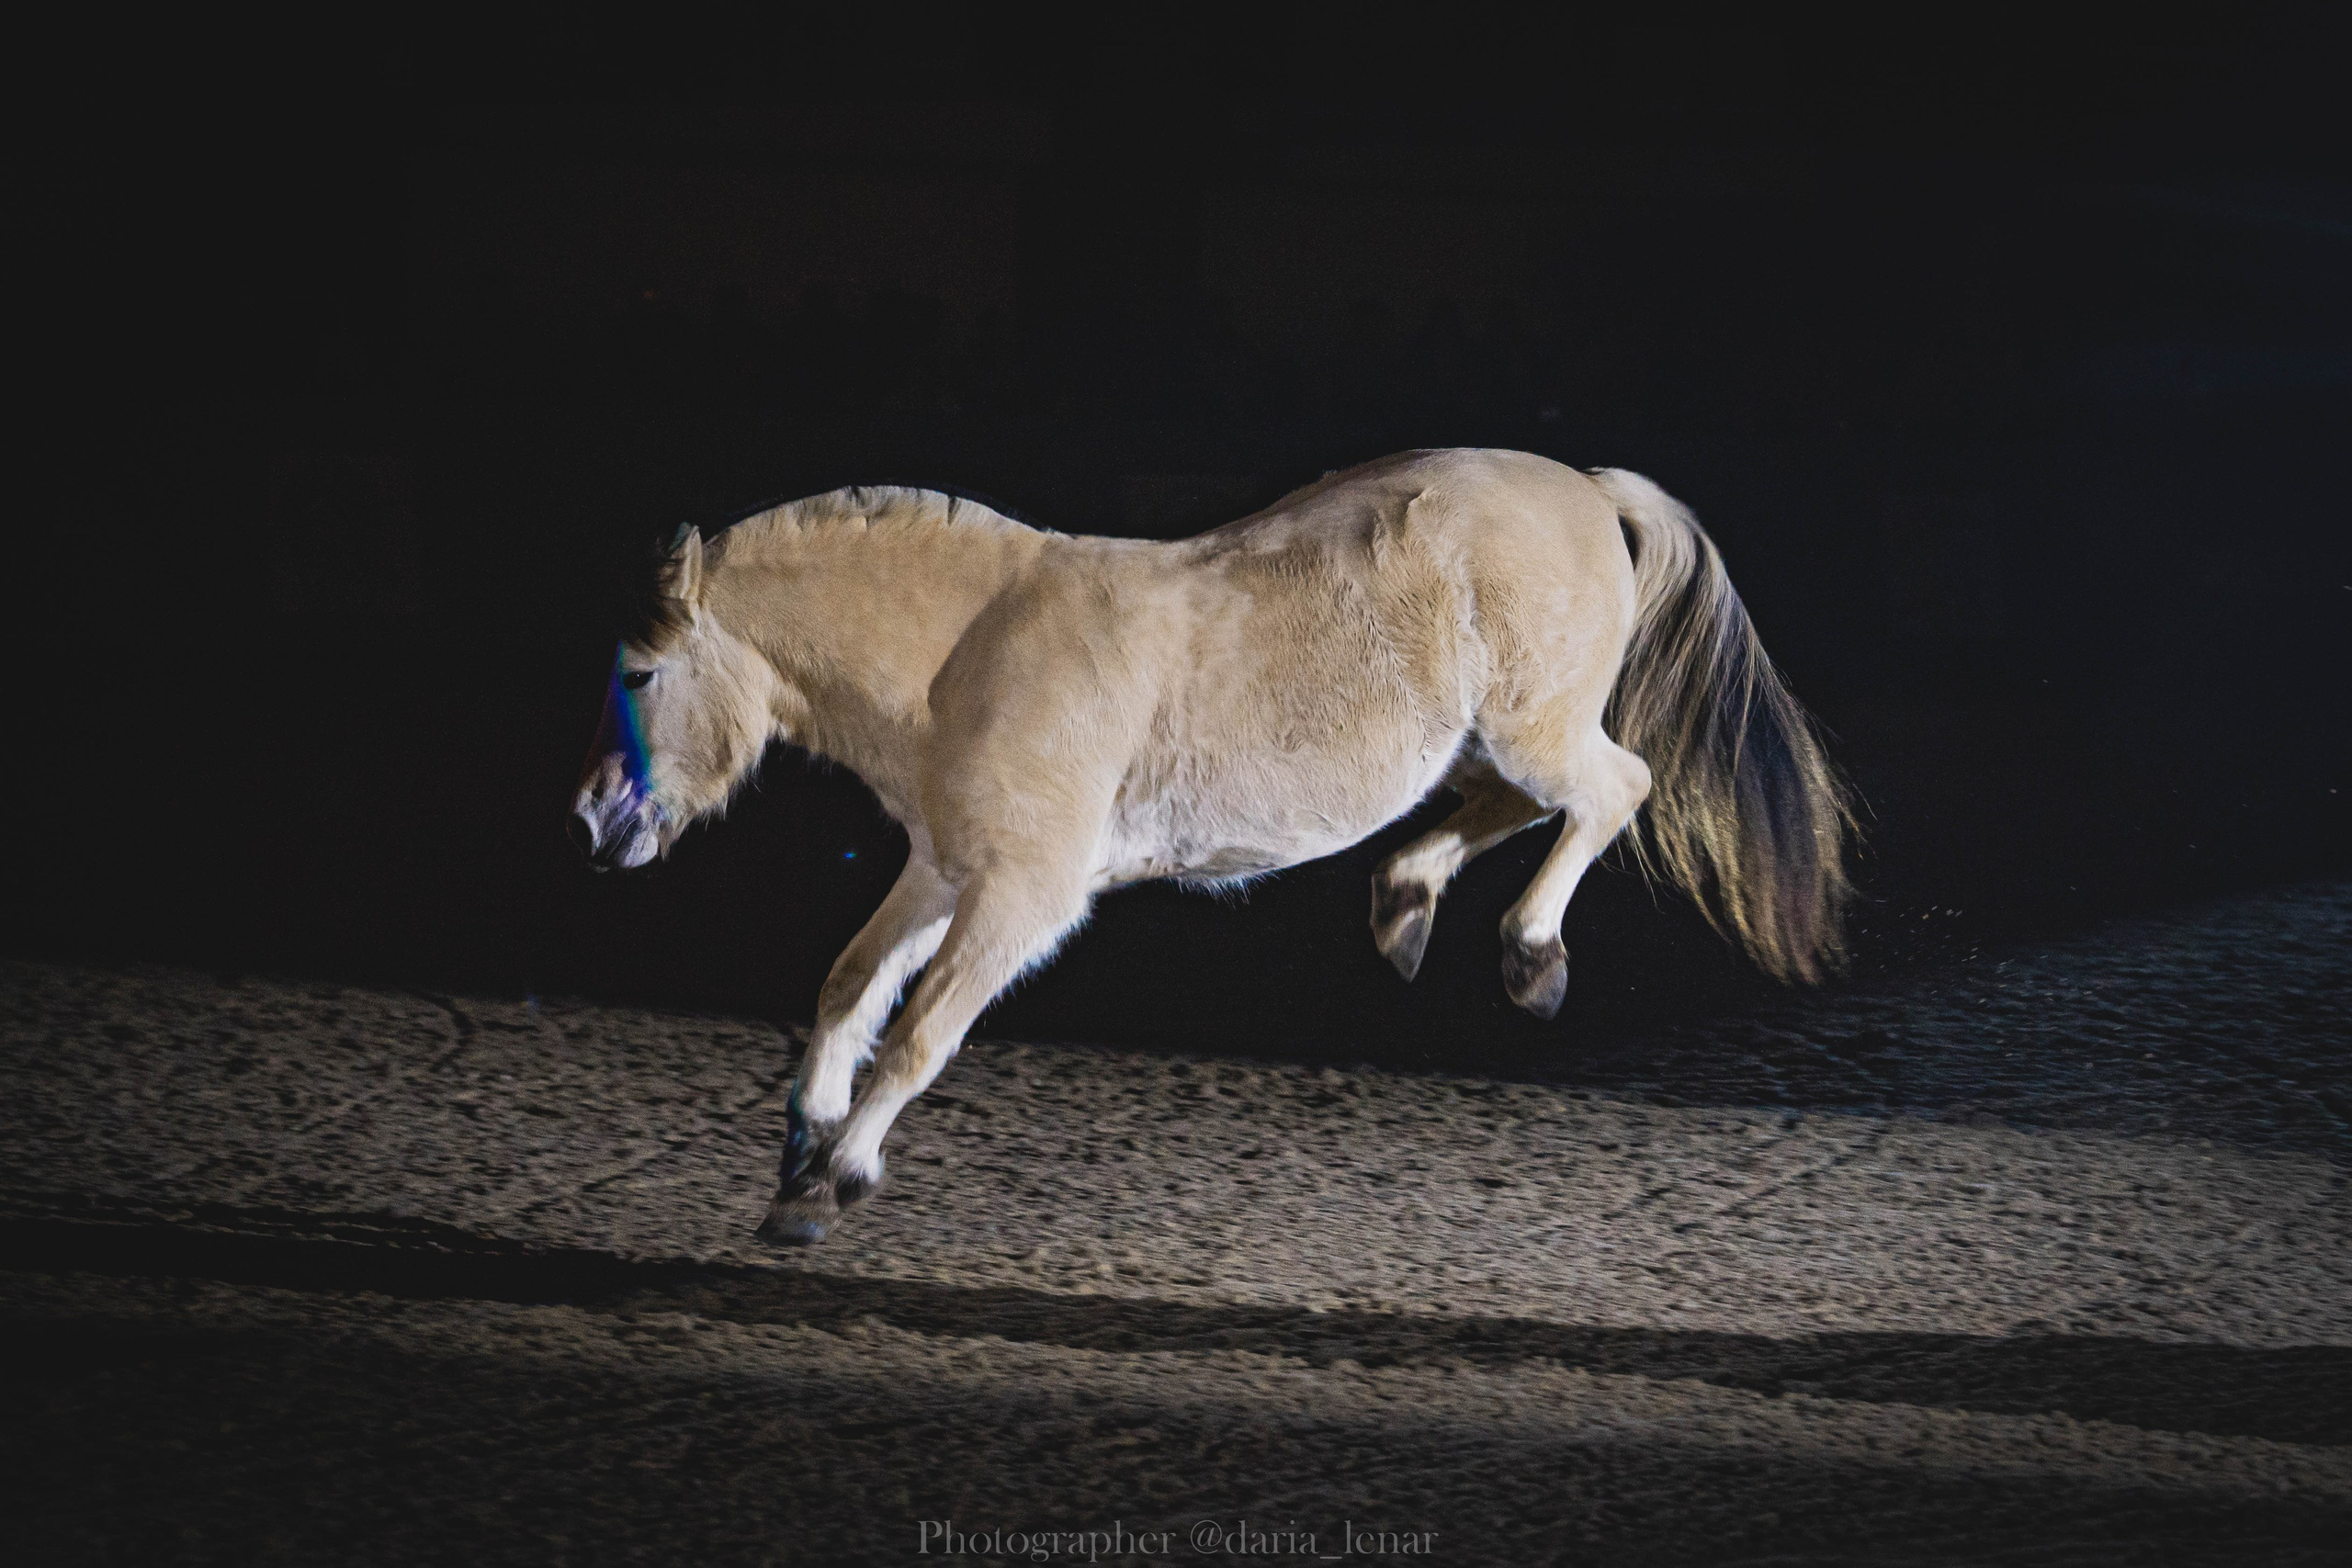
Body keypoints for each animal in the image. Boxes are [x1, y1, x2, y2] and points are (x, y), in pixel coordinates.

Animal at [569, 449, 1853, 1245]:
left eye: (641, 674)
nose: (594, 825)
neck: (968, 653)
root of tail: (1588, 488)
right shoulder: (941, 870)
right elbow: (848, 989)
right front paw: (802, 1144)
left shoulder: (1024, 897)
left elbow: (921, 1033)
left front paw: (829, 1183)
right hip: (1496, 736)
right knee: (1510, 803)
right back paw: (1403, 906)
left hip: (1536, 727)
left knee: (1608, 791)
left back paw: (1529, 958)